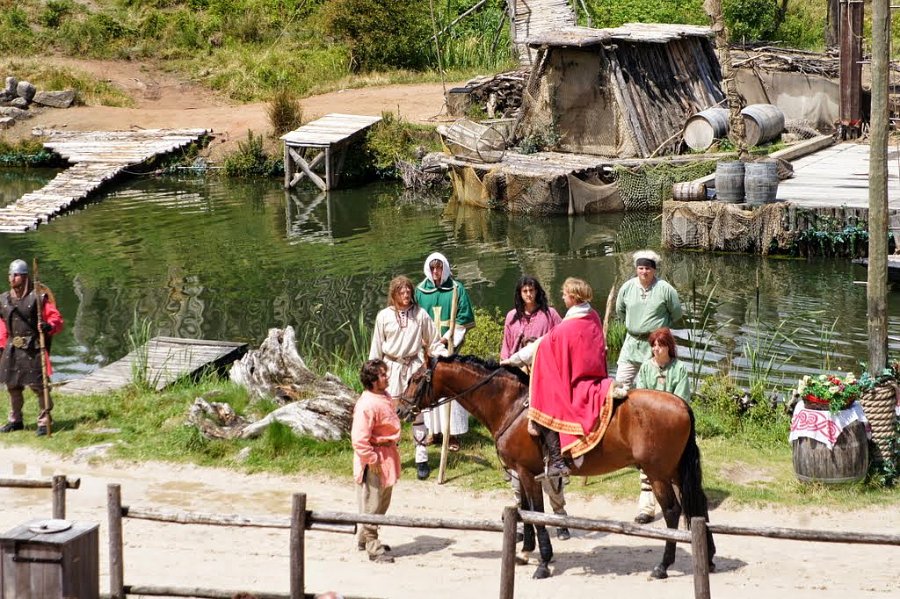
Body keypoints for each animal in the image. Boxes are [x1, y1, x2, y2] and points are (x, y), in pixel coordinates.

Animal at [400, 356, 716, 580]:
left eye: (415, 379)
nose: (401, 408)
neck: (510, 404)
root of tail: (682, 404)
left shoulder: (528, 473)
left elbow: (538, 514)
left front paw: (543, 561)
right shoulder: (521, 473)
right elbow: (524, 511)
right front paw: (525, 552)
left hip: (658, 473)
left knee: (673, 511)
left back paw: (663, 565)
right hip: (676, 471)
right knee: (697, 507)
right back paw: (709, 557)